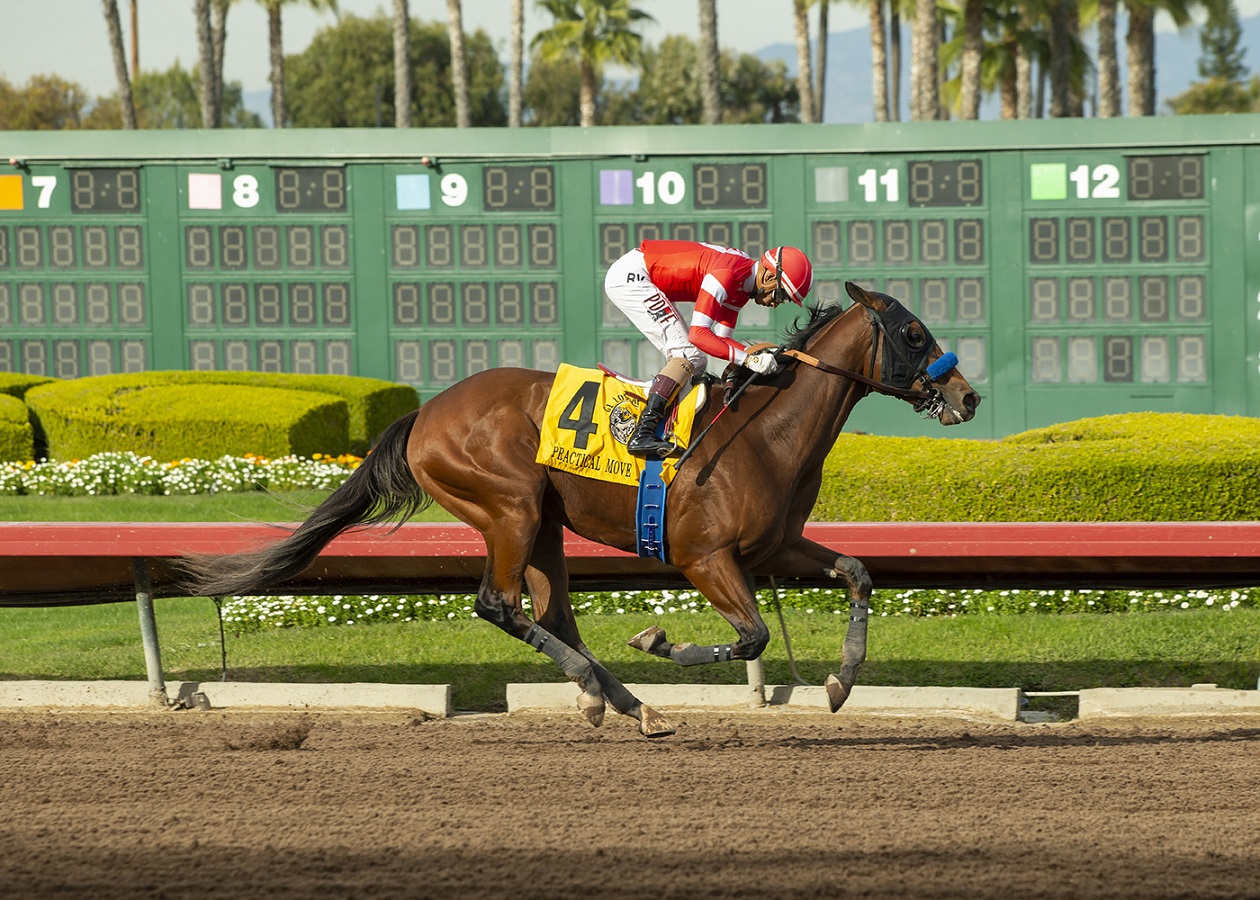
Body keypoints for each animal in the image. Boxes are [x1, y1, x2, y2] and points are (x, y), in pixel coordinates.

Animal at [180, 282, 982, 736]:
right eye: (913, 334)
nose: (968, 395)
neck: (767, 433)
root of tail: (425, 412)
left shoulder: (775, 546)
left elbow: (856, 572)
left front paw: (842, 683)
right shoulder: (705, 557)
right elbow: (751, 636)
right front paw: (657, 641)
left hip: (543, 526)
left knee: (549, 614)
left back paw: (622, 703)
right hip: (508, 507)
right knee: (500, 606)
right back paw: (615, 694)